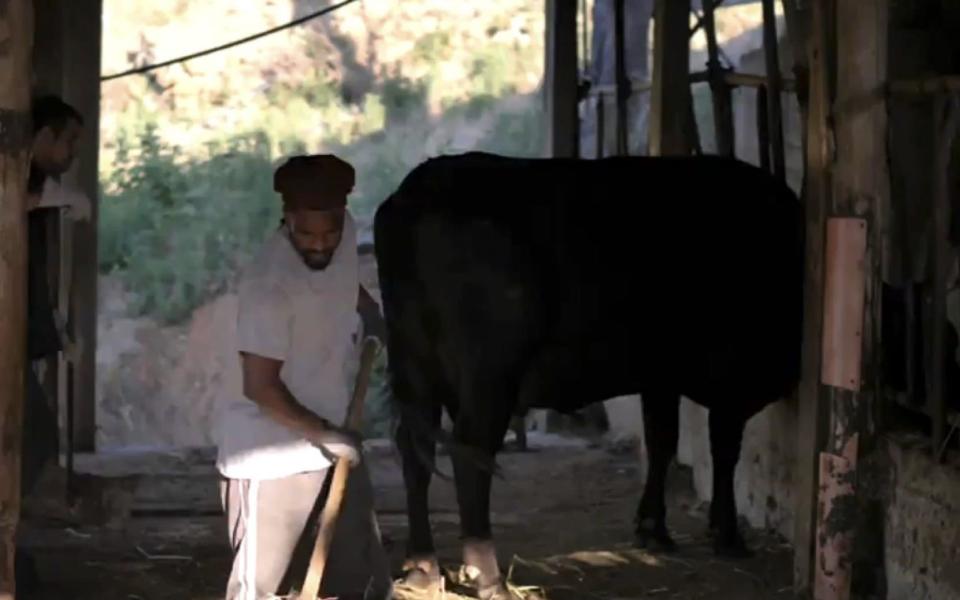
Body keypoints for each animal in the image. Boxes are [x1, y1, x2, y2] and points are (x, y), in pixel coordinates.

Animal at [374, 152, 804, 596]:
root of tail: (421, 186)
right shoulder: (732, 379)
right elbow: (725, 453)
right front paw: (728, 536)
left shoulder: (660, 375)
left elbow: (662, 440)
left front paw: (653, 529)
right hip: (488, 374)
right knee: (471, 452)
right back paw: (489, 578)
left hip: (413, 365)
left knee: (415, 448)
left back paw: (422, 566)